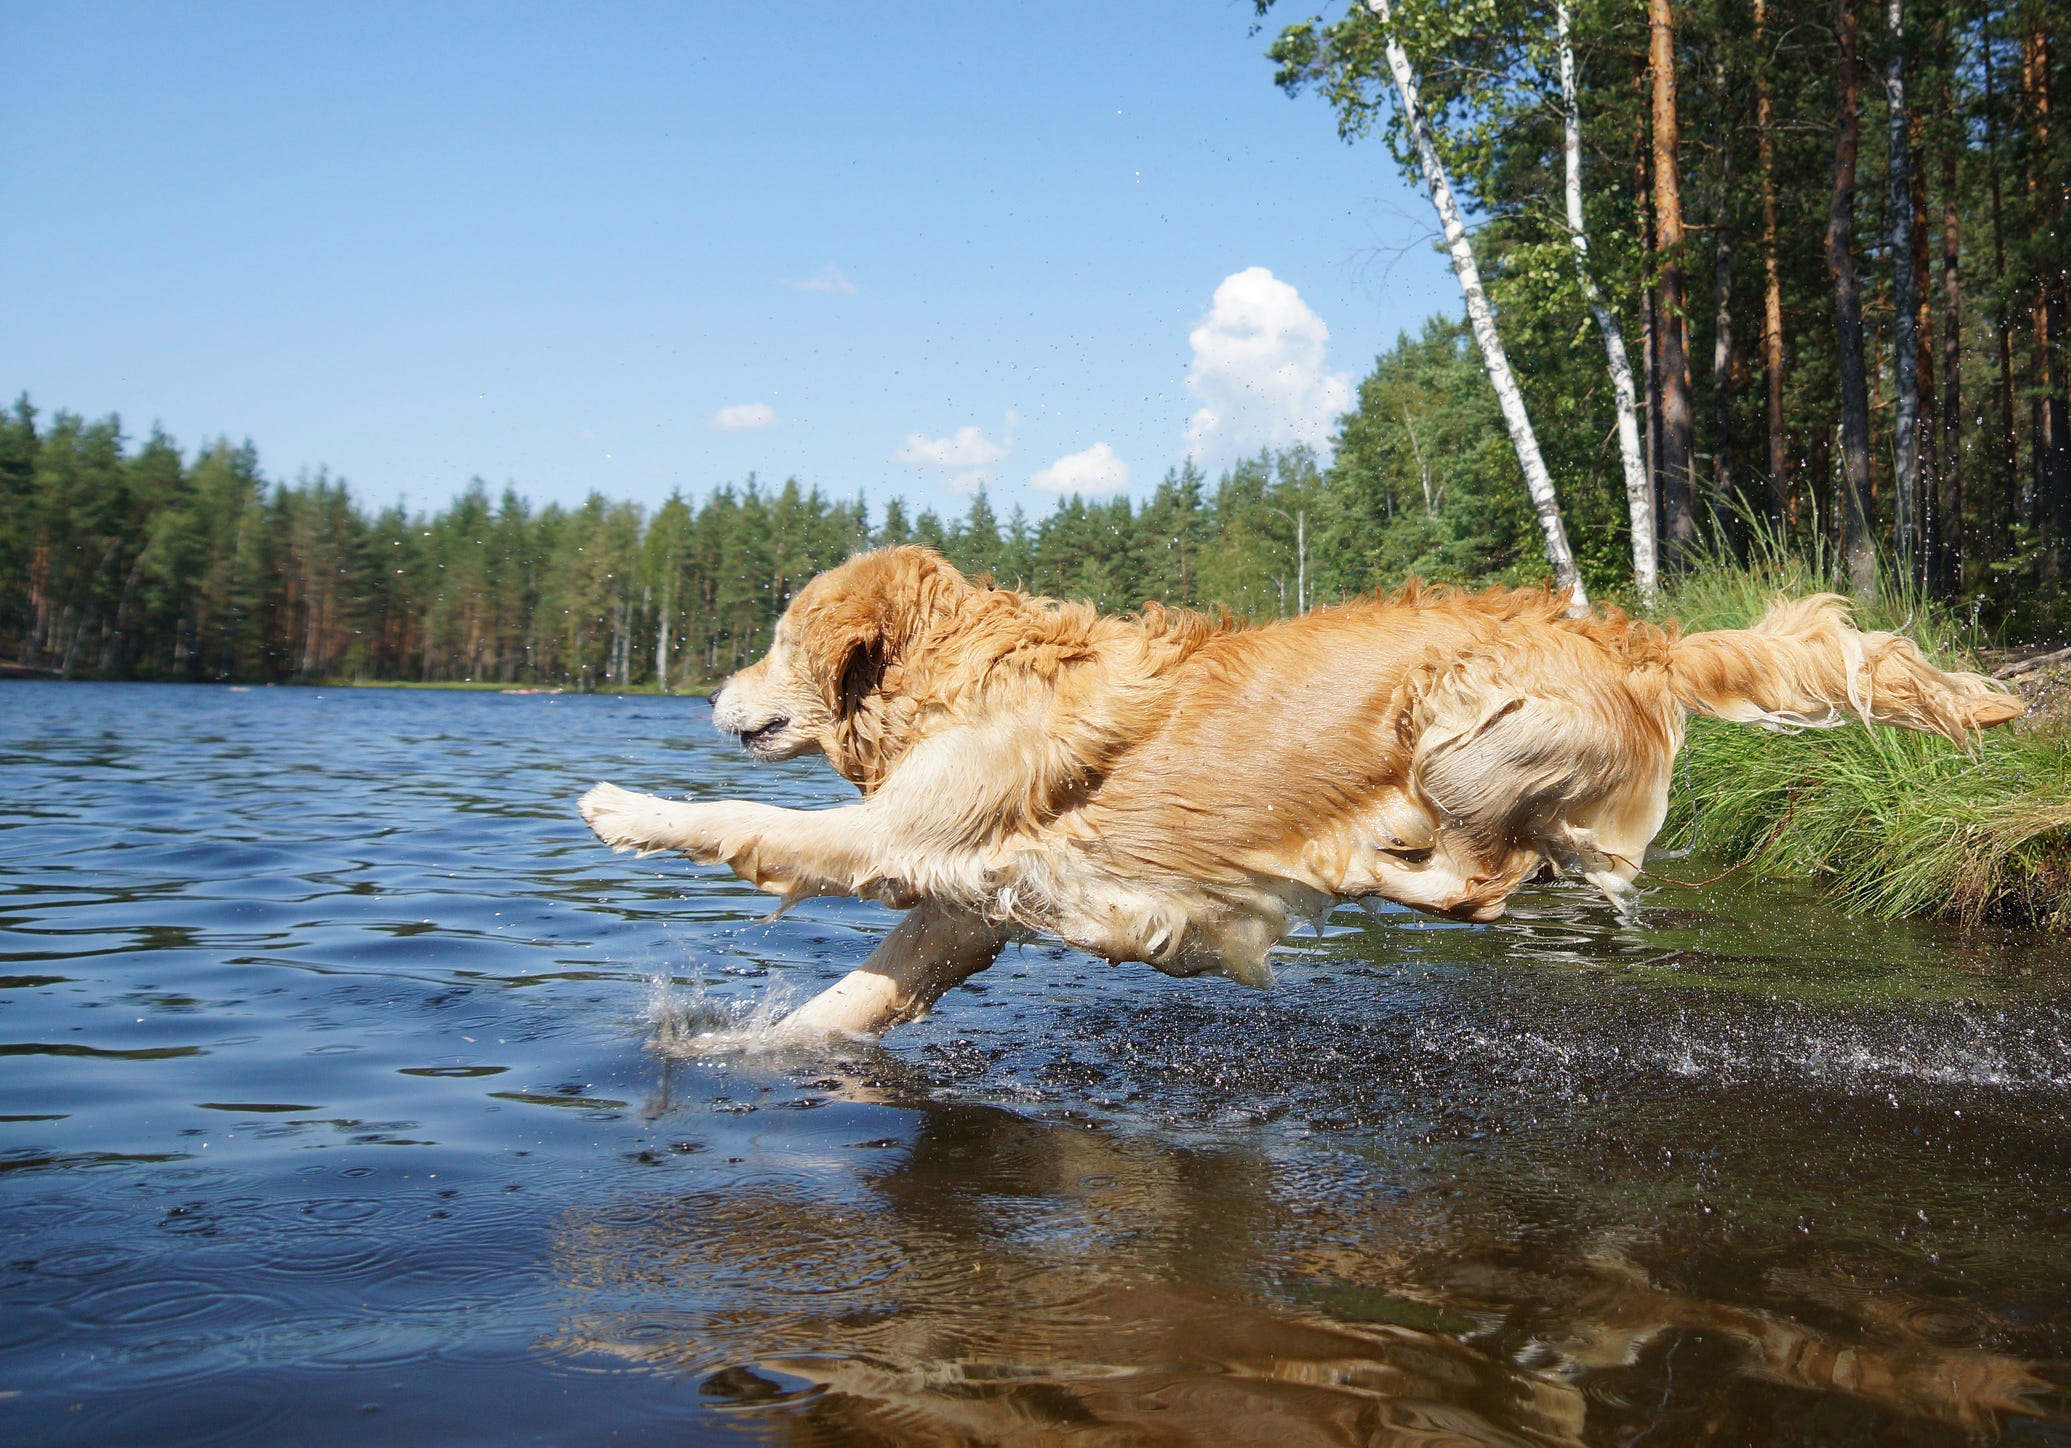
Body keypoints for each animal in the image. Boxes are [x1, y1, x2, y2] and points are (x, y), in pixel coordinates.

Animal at [584, 551, 2021, 1035]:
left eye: (775, 639)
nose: (714, 695)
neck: (964, 674)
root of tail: (1637, 639)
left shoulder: (902, 836)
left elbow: (750, 825)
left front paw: (623, 809)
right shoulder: (969, 902)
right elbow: (852, 1002)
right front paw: (738, 1054)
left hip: (1454, 728)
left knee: (1485, 880)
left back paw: (1354, 866)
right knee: (1525, 870)